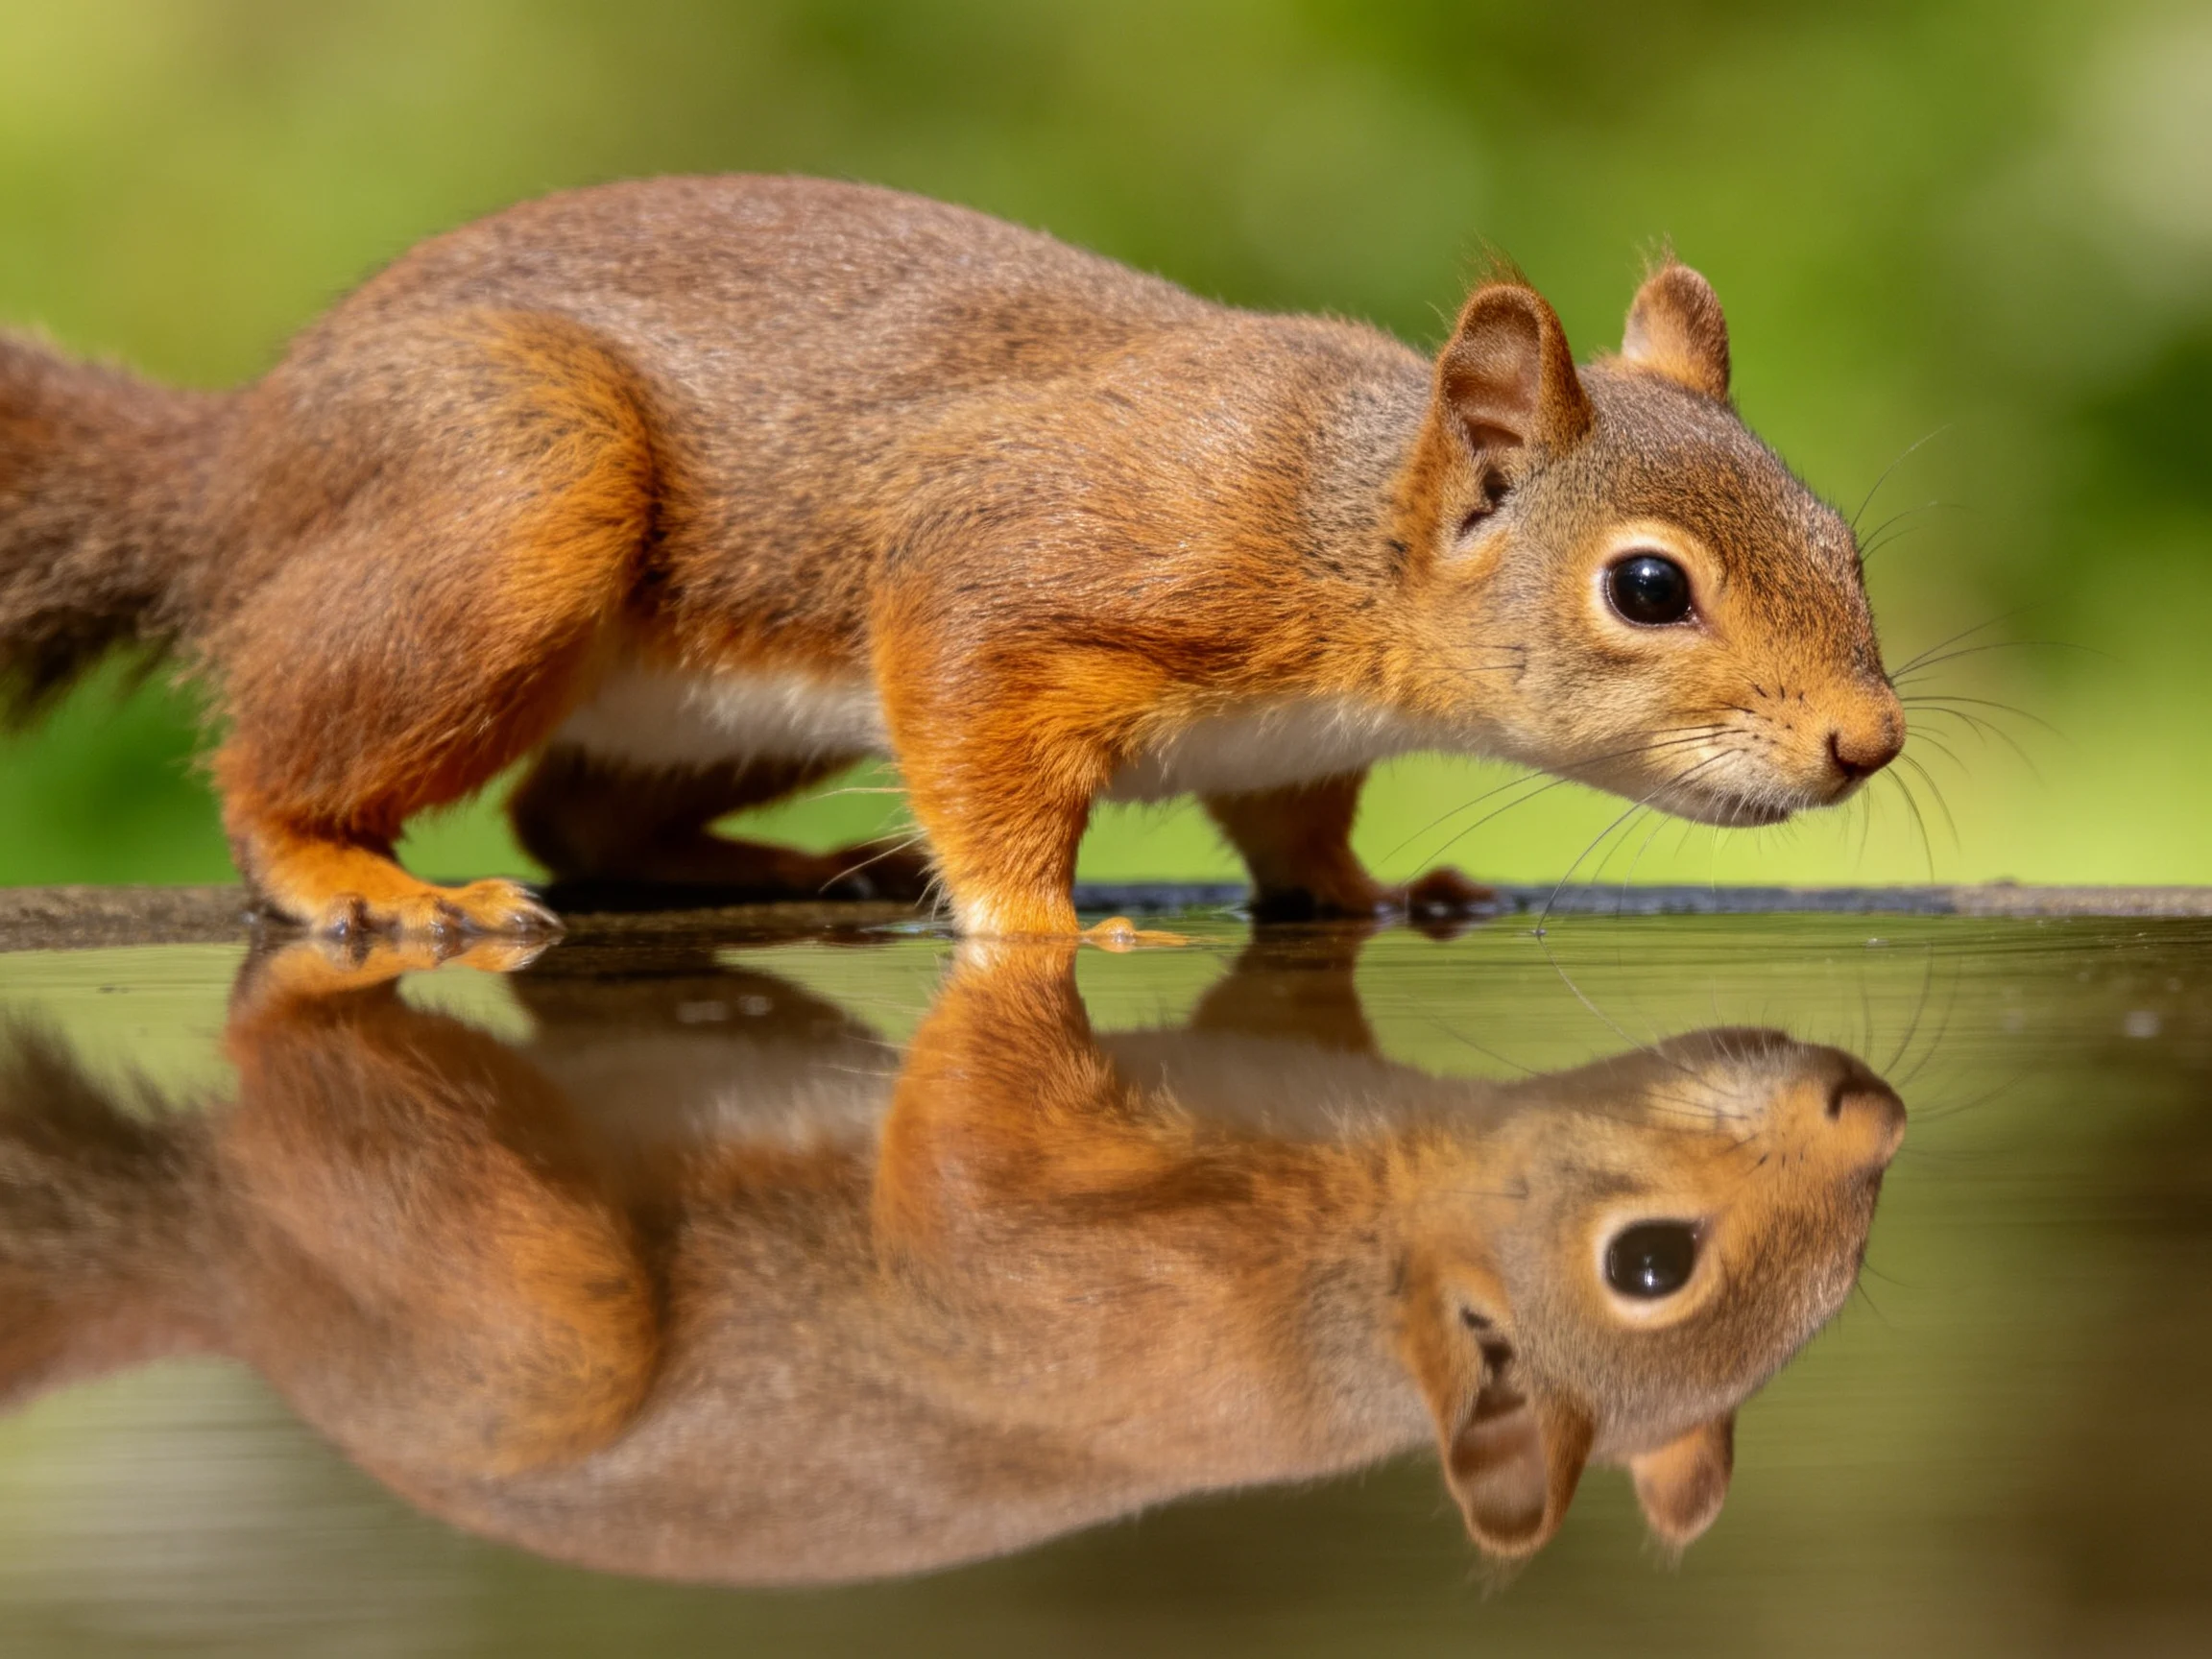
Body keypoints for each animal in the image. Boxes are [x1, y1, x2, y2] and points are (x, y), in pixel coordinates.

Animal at [0, 176, 1904, 938]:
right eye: (1646, 587)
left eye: (1844, 538)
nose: (1866, 742)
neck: (1337, 527)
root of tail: (241, 461)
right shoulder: (1016, 580)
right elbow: (990, 762)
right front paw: (1048, 928)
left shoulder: (1287, 754)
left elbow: (1302, 843)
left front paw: (1385, 895)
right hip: (508, 497)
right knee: (280, 777)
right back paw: (358, 876)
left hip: (728, 704)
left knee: (577, 814)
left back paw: (764, 869)